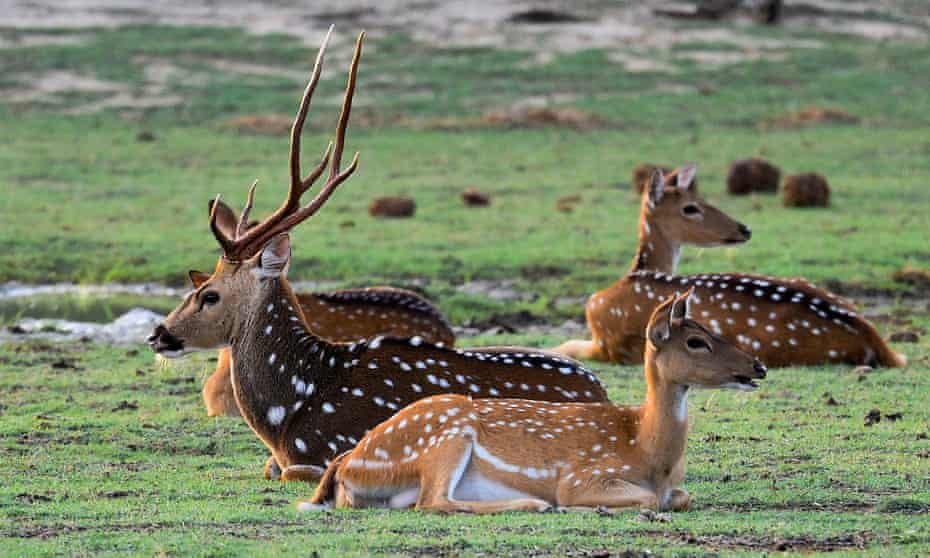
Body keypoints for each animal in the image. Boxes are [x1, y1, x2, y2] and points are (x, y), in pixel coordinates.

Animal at [301, 289, 767, 514]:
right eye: (696, 341)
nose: (758, 366)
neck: (646, 449)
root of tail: (348, 463)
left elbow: (682, 497)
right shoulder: (582, 476)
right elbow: (649, 500)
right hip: (447, 435)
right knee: (433, 501)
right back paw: (535, 503)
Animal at [554, 167, 907, 368]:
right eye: (690, 207)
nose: (743, 228)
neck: (635, 272)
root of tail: (876, 342)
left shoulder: (608, 345)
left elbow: (566, 346)